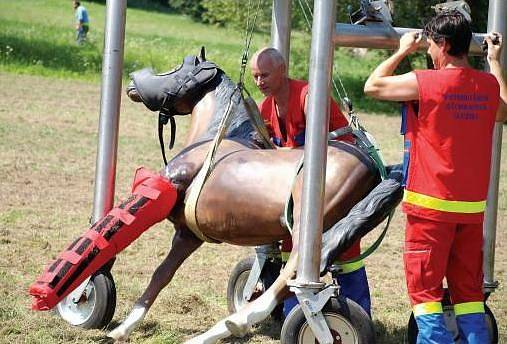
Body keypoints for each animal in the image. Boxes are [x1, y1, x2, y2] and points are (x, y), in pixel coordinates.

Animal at [107, 55, 384, 342]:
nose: (132, 81)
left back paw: (234, 323)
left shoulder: (169, 184)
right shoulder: (188, 234)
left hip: (305, 229)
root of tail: (370, 165)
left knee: (292, 278)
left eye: (177, 68)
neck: (218, 137)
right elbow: (162, 274)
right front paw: (124, 327)